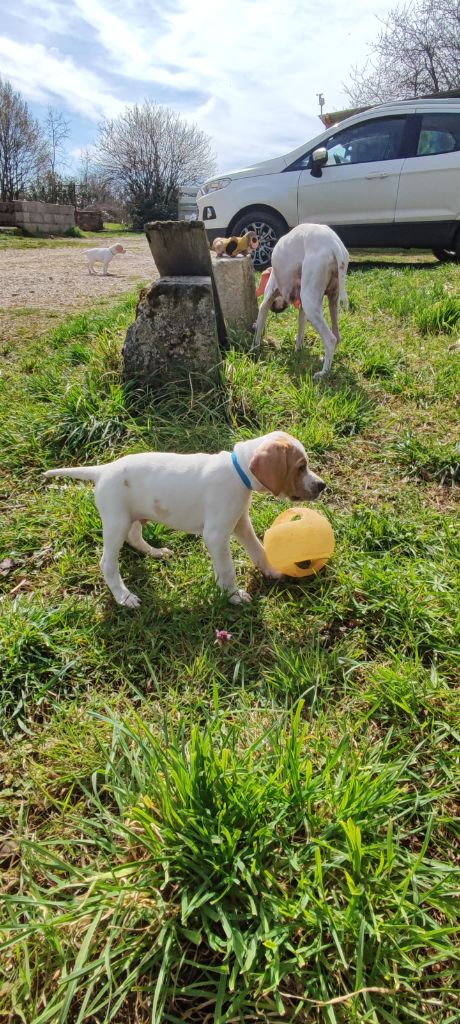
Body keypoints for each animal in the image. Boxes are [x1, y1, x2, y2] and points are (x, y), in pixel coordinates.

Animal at [44, 431, 326, 609]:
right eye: (301, 467)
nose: (322, 486)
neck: (238, 472)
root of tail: (102, 470)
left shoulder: (240, 524)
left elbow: (258, 550)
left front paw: (272, 571)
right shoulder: (216, 535)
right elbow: (227, 568)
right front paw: (233, 596)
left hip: (134, 517)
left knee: (135, 537)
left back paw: (156, 552)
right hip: (115, 522)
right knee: (107, 563)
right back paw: (124, 597)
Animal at [253, 224, 349, 380]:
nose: (276, 309)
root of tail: (333, 244)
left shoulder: (267, 300)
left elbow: (259, 325)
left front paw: (254, 350)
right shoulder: (303, 310)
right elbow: (300, 330)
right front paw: (298, 349)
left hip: (310, 302)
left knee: (331, 340)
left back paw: (323, 373)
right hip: (332, 298)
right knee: (337, 335)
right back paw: (326, 361)